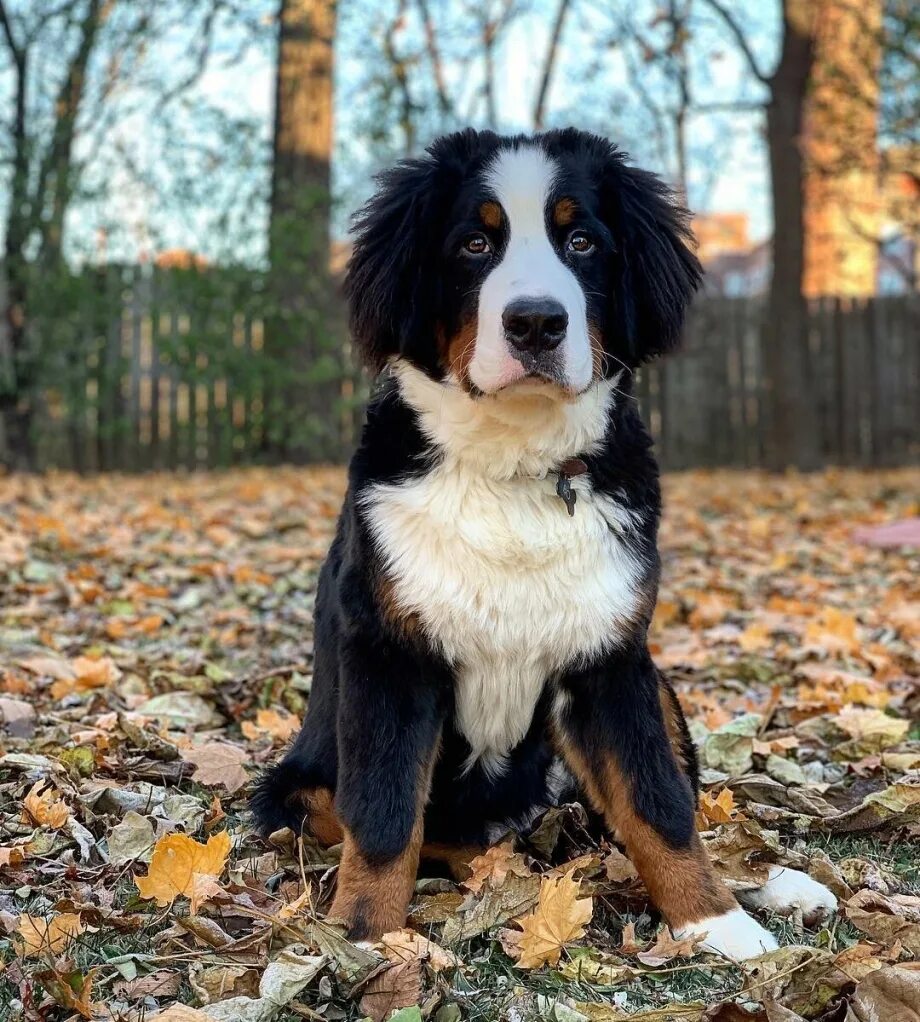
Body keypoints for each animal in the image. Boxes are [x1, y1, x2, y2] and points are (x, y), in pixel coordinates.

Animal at [255, 125, 838, 956]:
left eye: (582, 241)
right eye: (474, 243)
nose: (535, 322)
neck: (517, 471)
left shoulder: (608, 663)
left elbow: (659, 806)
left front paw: (718, 923)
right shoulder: (391, 656)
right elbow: (386, 812)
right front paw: (364, 940)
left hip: (655, 688)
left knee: (633, 812)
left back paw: (783, 886)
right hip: (298, 785)